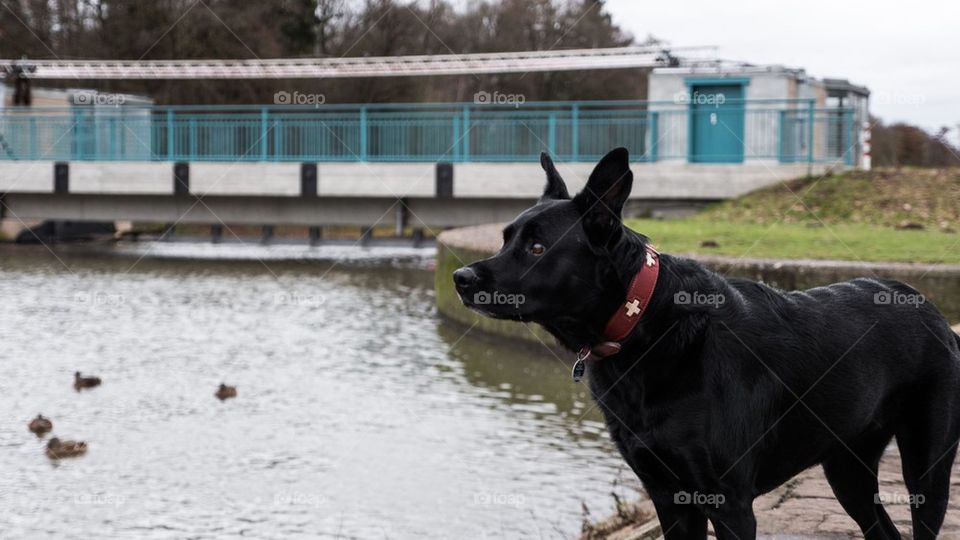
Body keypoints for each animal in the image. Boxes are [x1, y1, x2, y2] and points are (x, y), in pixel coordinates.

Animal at [454, 148, 960, 540]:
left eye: (537, 248)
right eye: (505, 239)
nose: (460, 278)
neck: (645, 327)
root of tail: (933, 312)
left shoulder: (728, 501)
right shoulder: (669, 497)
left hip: (926, 468)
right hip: (847, 468)